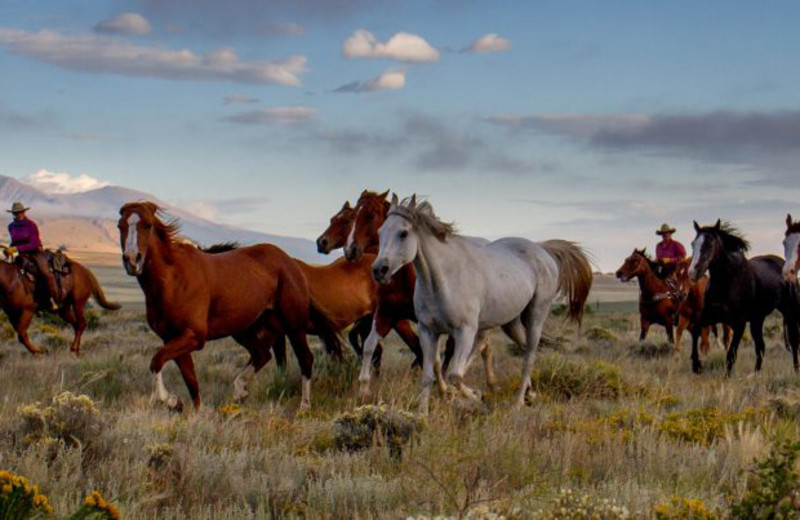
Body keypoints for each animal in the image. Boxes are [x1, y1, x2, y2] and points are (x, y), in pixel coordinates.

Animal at [119, 201, 344, 412]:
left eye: (147, 225)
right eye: (120, 226)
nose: (132, 260)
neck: (173, 281)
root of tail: (291, 263)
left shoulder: (194, 336)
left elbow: (156, 361)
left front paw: (172, 401)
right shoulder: (173, 338)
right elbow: (191, 383)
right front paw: (188, 410)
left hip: (293, 325)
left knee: (305, 358)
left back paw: (304, 407)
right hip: (244, 328)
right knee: (262, 354)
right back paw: (240, 390)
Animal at [372, 195, 592, 414]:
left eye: (403, 233)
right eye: (380, 232)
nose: (379, 270)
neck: (443, 280)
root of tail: (542, 249)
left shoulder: (465, 331)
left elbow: (455, 375)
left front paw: (474, 396)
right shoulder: (428, 331)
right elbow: (428, 375)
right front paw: (423, 414)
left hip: (536, 315)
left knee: (528, 356)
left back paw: (518, 402)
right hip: (510, 322)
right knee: (523, 348)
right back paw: (530, 394)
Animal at [688, 218, 800, 374]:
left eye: (710, 243)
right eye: (693, 244)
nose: (692, 273)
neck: (727, 281)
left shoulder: (739, 324)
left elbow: (731, 354)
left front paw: (726, 377)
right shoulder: (710, 315)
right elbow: (695, 329)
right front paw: (696, 364)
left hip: (790, 311)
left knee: (794, 342)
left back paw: (796, 370)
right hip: (757, 319)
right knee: (761, 346)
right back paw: (755, 374)